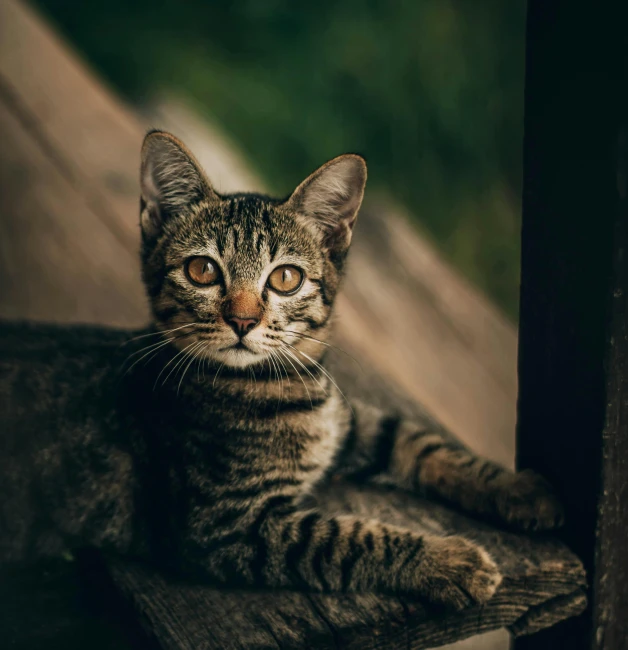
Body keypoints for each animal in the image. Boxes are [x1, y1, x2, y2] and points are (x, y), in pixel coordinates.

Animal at [0, 130, 564, 608]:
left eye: (286, 278)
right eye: (201, 270)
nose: (243, 320)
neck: (283, 383)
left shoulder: (349, 422)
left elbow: (417, 440)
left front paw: (520, 490)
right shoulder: (226, 526)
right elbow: (350, 539)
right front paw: (449, 561)